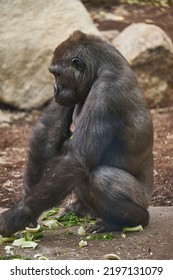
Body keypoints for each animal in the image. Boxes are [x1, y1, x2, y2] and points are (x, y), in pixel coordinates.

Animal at [0, 30, 153, 236]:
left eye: (57, 74)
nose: (55, 89)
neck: (101, 67)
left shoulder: (107, 91)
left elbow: (76, 159)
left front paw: (16, 217)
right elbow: (49, 131)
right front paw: (26, 208)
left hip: (142, 198)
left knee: (100, 178)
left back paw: (130, 220)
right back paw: (82, 208)